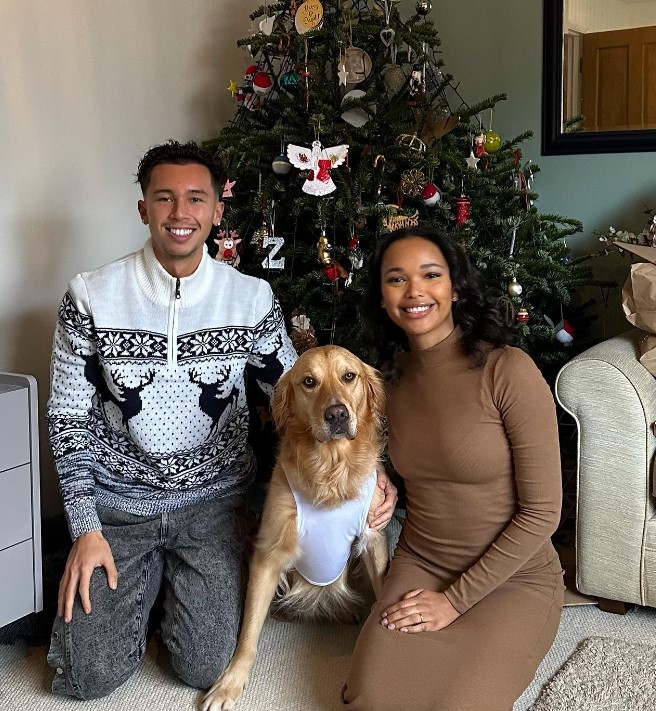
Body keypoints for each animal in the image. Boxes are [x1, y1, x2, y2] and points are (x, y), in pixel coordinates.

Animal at [202, 346, 386, 711]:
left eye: (349, 376)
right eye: (309, 382)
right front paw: (230, 683)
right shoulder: (268, 553)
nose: (337, 415)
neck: (331, 470)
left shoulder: (373, 540)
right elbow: (248, 632)